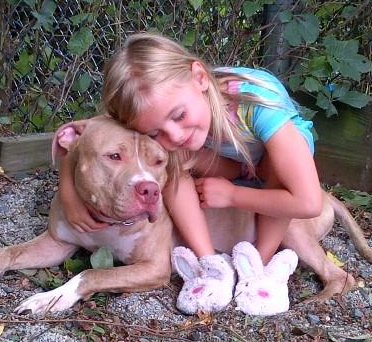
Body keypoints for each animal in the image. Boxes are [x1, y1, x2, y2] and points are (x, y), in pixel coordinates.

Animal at [0, 116, 372, 314]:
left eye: (159, 162)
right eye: (114, 156)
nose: (150, 190)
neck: (106, 222)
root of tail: (326, 194)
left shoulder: (152, 267)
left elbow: (91, 274)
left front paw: (53, 298)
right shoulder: (56, 243)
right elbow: (9, 253)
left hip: (295, 228)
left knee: (341, 276)